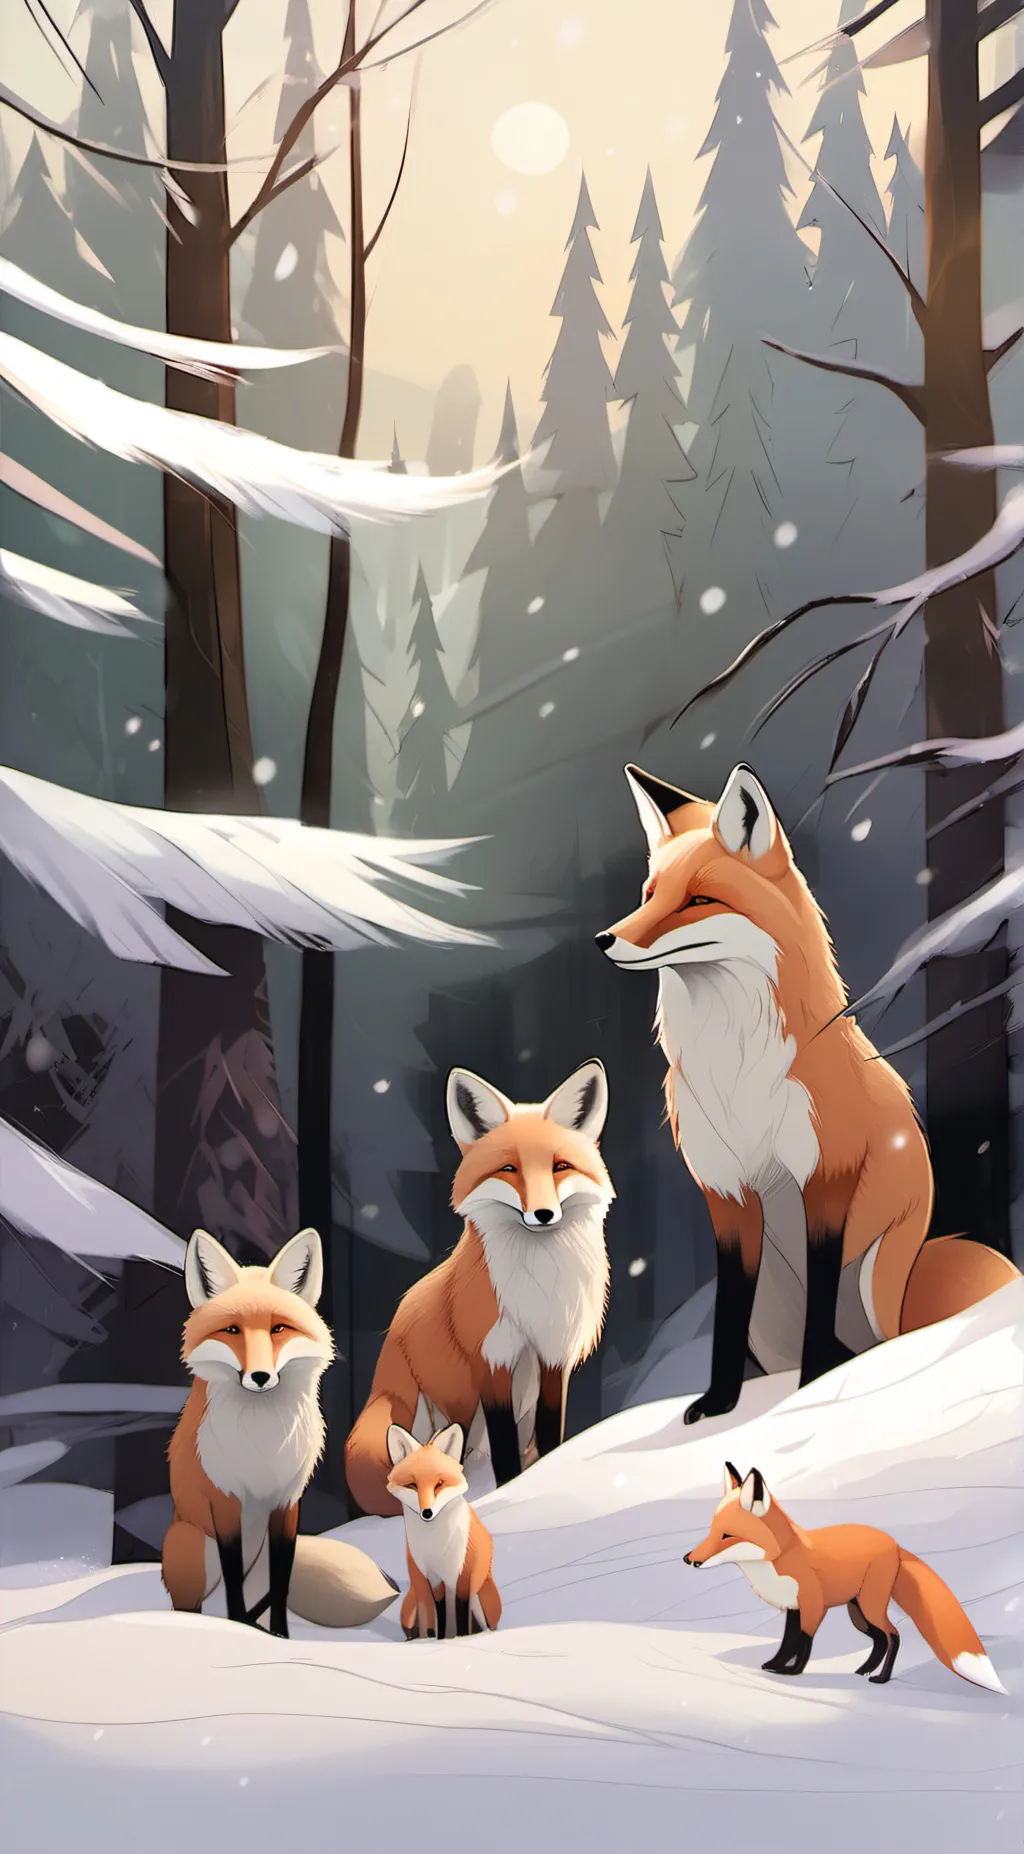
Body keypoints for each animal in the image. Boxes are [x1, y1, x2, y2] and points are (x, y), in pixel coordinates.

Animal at [161, 1225, 399, 1637]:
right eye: (232, 1330)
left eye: (278, 1329)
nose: (259, 1376)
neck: (263, 1442)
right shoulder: (226, 1501)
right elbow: (235, 1581)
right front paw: (240, 1628)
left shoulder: (287, 1502)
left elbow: (282, 1579)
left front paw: (281, 1636)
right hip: (192, 1549)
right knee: (191, 1603)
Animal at [345, 1059, 614, 1517]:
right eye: (509, 1169)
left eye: (559, 1166)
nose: (543, 1214)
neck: (539, 1286)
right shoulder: (491, 1359)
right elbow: (505, 1449)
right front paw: (508, 1495)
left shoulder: (554, 1358)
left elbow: (551, 1435)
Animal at [386, 1421, 502, 1639]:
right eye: (412, 1485)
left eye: (439, 1484)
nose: (427, 1512)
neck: (435, 1543)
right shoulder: (424, 1578)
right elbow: (430, 1621)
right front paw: (430, 1641)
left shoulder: (461, 1577)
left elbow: (460, 1620)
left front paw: (458, 1640)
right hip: (410, 1607)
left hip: (481, 1598)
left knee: (484, 1624)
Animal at [597, 760, 1019, 1423]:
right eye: (649, 896)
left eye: (698, 901)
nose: (604, 939)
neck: (736, 1069)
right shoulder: (727, 1197)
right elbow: (727, 1314)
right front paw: (719, 1404)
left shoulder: (827, 1179)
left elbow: (820, 1302)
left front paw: (816, 1384)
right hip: (771, 1319)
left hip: (877, 1284)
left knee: (885, 1341)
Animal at [684, 1463, 1008, 1693]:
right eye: (712, 1530)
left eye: (727, 1535)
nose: (689, 1559)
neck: (780, 1558)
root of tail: (894, 1542)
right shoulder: (793, 1608)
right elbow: (787, 1642)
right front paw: (774, 1665)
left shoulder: (813, 1605)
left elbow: (804, 1642)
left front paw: (792, 1672)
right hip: (858, 1614)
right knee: (880, 1639)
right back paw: (864, 1670)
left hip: (869, 1607)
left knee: (893, 1635)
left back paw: (881, 1678)